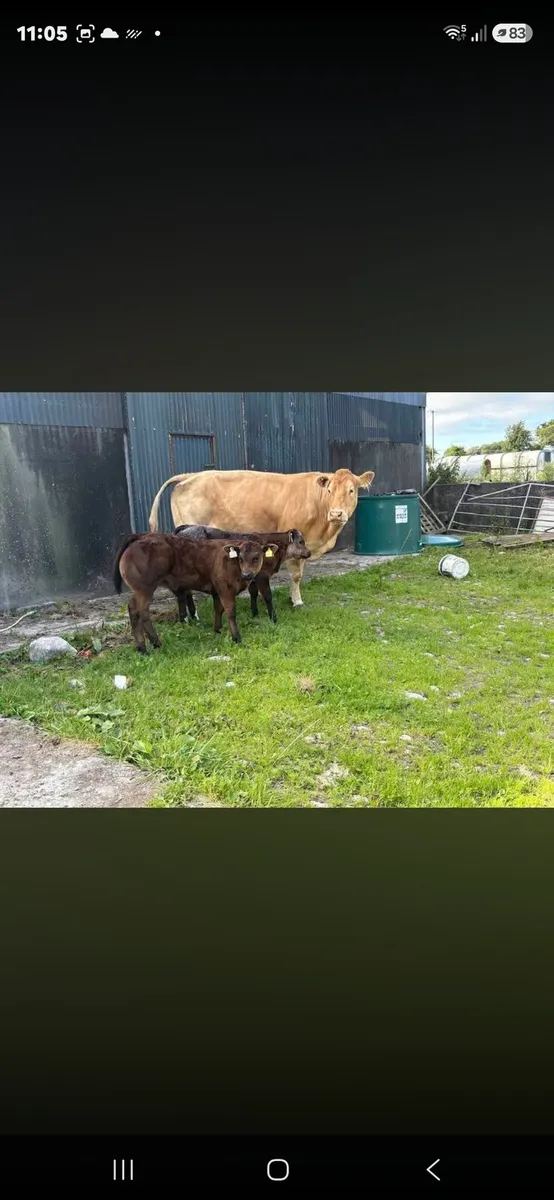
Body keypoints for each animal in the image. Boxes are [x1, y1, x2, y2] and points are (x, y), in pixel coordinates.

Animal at [113, 532, 277, 651]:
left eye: (256, 557)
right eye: (241, 559)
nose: (247, 574)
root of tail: (141, 536)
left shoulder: (217, 590)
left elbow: (218, 609)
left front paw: (217, 630)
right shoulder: (225, 587)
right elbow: (230, 611)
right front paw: (236, 637)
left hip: (146, 589)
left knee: (144, 612)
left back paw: (156, 643)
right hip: (144, 587)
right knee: (135, 609)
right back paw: (142, 648)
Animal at [148, 467, 375, 607]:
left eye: (351, 490)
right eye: (329, 490)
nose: (336, 513)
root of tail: (190, 475)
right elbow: (296, 575)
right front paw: (297, 601)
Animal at [174, 525, 311, 624]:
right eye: (301, 541)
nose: (309, 552)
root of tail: (186, 528)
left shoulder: (252, 576)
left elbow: (253, 593)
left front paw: (255, 614)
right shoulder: (262, 575)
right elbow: (267, 596)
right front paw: (273, 618)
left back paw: (193, 617)